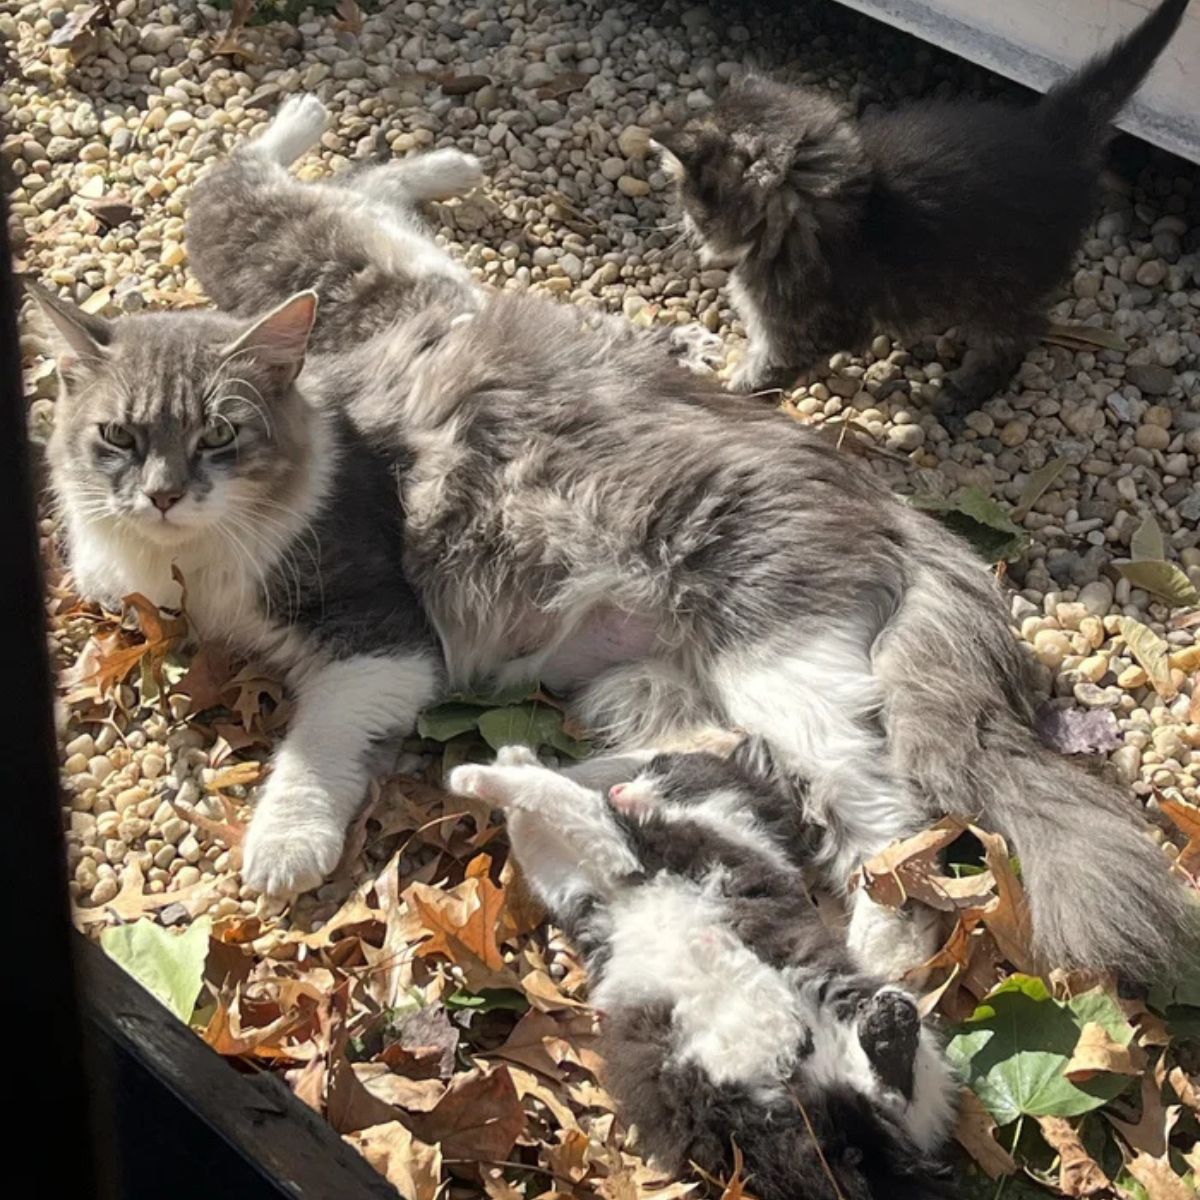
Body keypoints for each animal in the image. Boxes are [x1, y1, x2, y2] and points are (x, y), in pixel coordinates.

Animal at [37, 98, 1190, 979]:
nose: (164, 495)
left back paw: (884, 943)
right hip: (645, 688)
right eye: (118, 439)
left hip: (779, 662)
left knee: (882, 811)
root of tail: (894, 508)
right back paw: (531, 788)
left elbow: (314, 745)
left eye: (221, 437)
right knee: (721, 765)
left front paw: (286, 843)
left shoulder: (380, 636)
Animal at [448, 739, 955, 1200]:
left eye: (663, 770)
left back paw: (890, 1033)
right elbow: (535, 833)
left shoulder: (636, 845)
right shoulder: (577, 881)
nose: (618, 788)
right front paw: (515, 758)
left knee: (909, 1098)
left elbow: (558, 796)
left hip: (860, 1007)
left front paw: (477, 773)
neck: (724, 819)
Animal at [657, 0, 1190, 415]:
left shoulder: (805, 326)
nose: (686, 228)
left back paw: (968, 388)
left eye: (691, 202)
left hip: (1004, 283)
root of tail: (1050, 135)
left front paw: (719, 393)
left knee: (1019, 332)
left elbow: (761, 376)